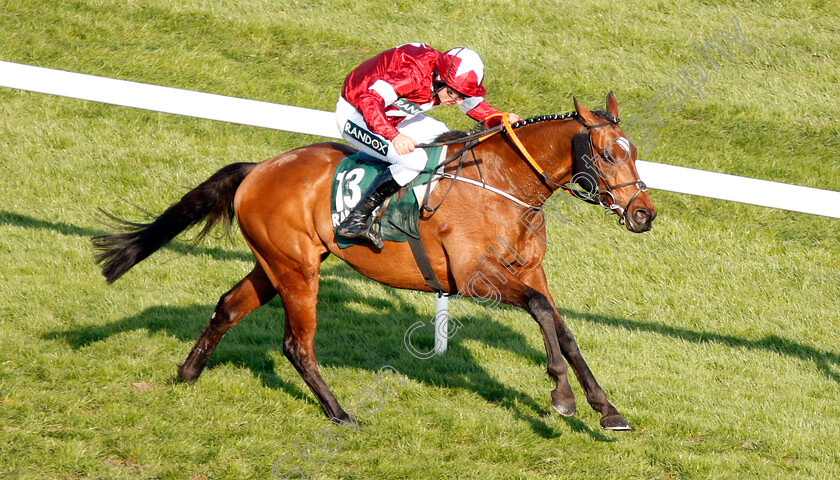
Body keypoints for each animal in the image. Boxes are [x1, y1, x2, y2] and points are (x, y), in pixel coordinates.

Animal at [93, 92, 656, 430]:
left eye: (634, 154)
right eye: (609, 155)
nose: (644, 214)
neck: (504, 184)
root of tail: (258, 169)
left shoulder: (529, 271)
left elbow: (563, 328)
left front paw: (607, 409)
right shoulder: (475, 279)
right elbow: (541, 312)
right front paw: (561, 395)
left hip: (276, 264)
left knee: (229, 306)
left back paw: (188, 373)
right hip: (298, 270)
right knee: (297, 344)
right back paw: (340, 413)